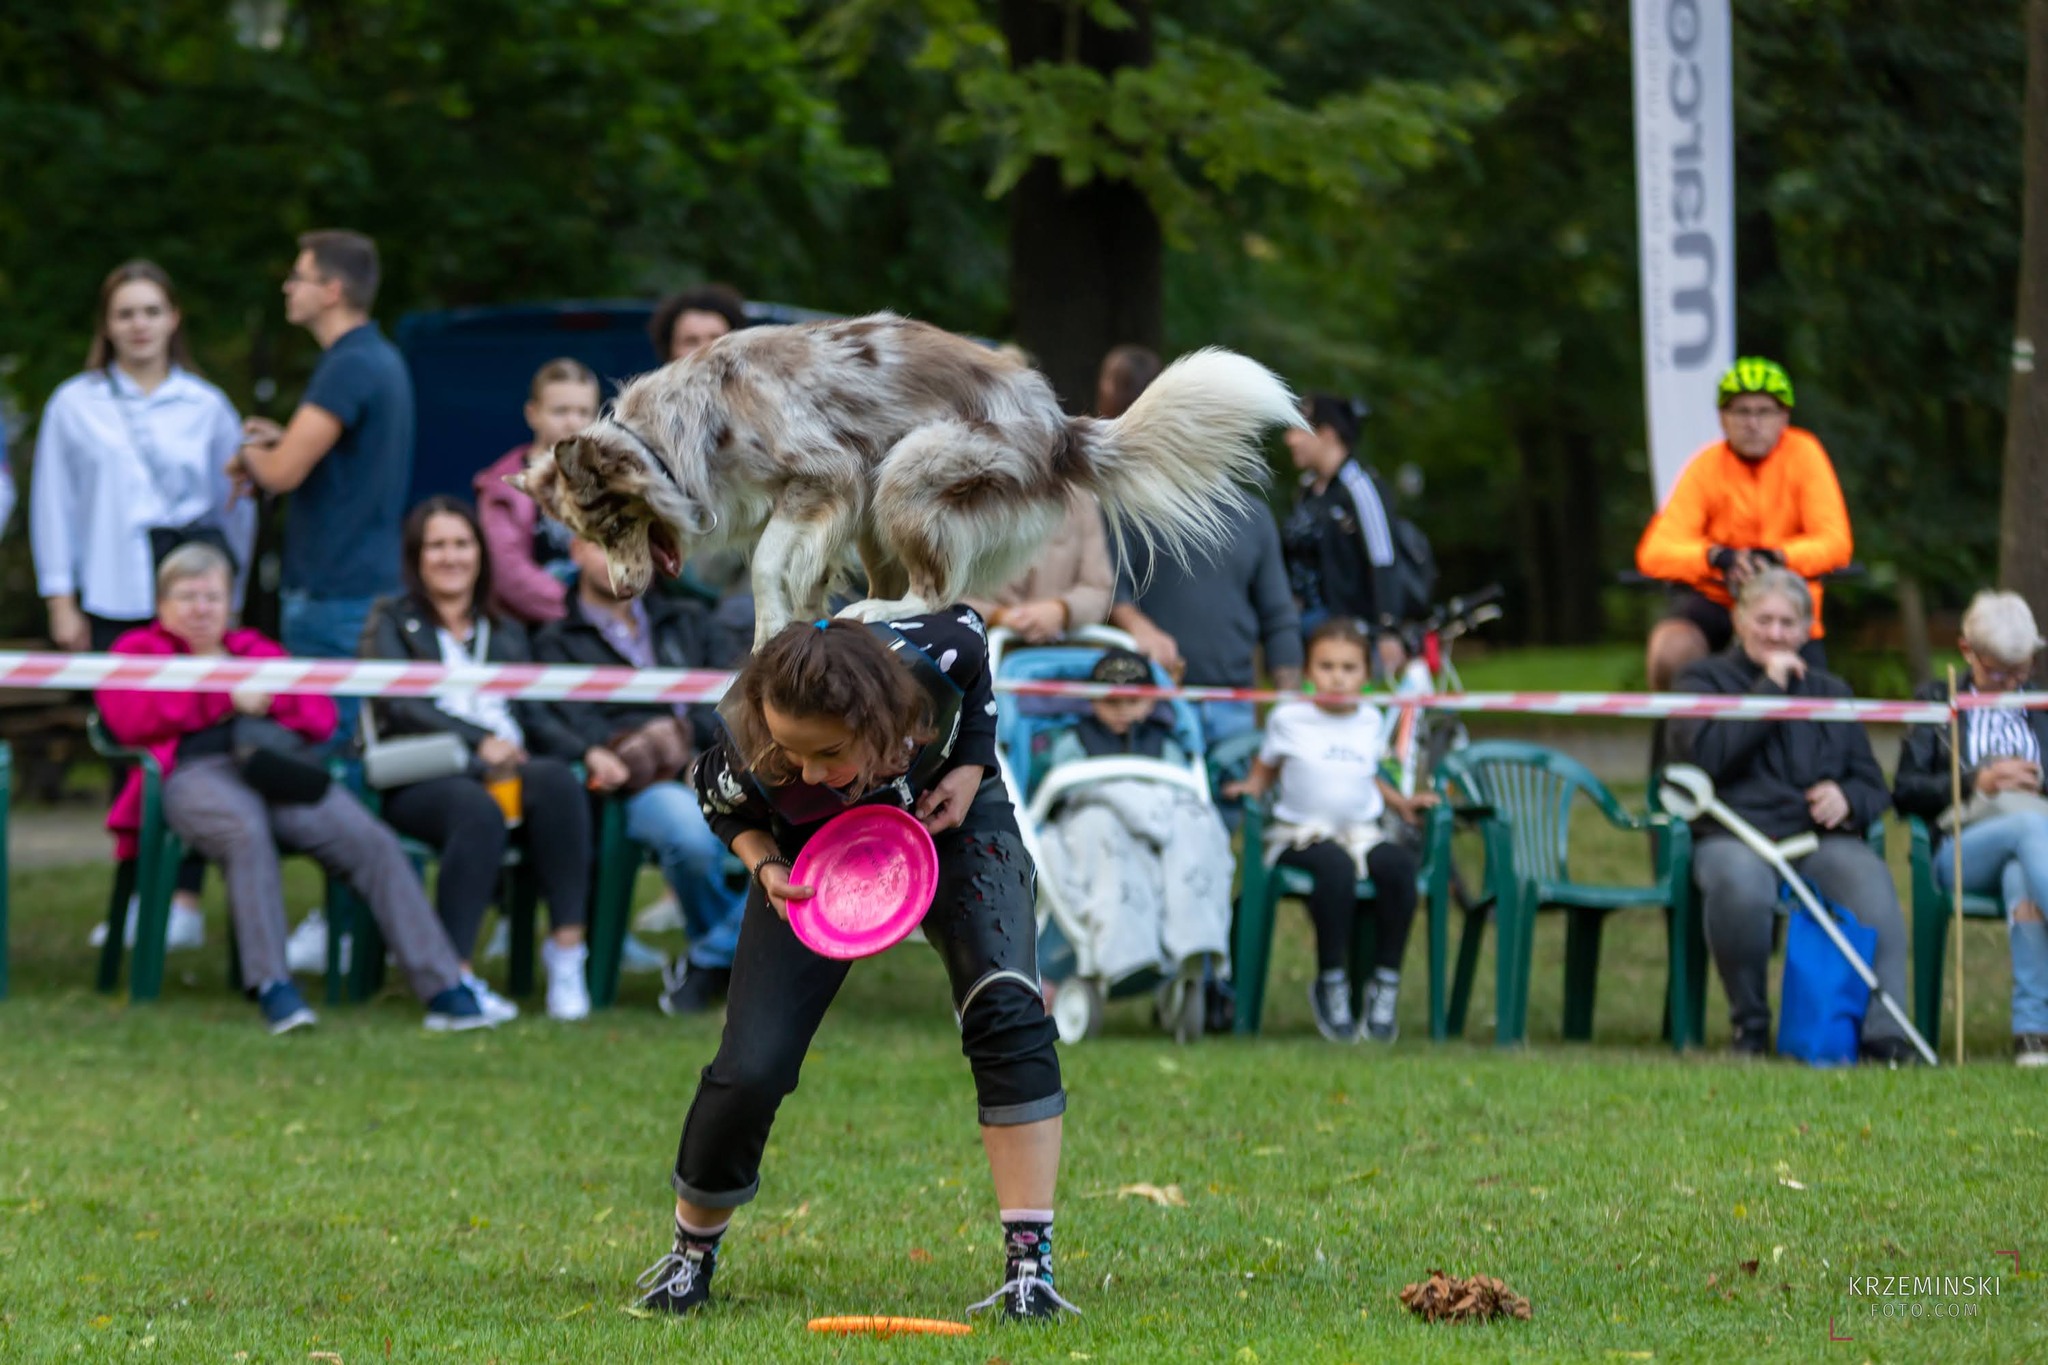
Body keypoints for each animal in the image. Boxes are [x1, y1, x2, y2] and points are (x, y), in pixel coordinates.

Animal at [516, 315, 1310, 646]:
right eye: (592, 535)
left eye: (614, 525)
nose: (621, 590)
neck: (670, 438)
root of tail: (1061, 428)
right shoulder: (818, 504)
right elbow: (796, 573)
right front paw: (794, 623)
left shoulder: (825, 472)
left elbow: (769, 562)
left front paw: (771, 629)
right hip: (877, 505)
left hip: (899, 470)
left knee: (938, 591)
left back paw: (882, 612)